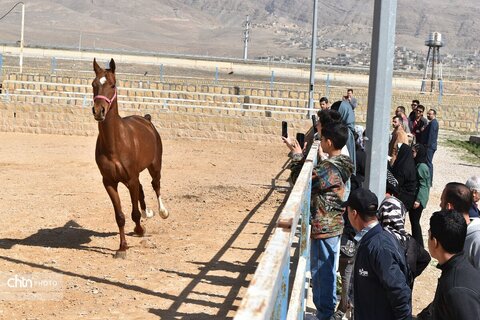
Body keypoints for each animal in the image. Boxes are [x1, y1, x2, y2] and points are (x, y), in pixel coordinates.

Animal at [92, 58, 169, 258]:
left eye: (112, 84)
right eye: (94, 84)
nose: (99, 111)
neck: (115, 144)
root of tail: (146, 119)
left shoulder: (131, 179)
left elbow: (134, 213)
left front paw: (140, 230)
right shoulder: (109, 182)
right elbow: (120, 216)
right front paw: (122, 247)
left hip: (155, 165)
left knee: (155, 185)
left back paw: (162, 211)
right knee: (142, 189)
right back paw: (147, 213)